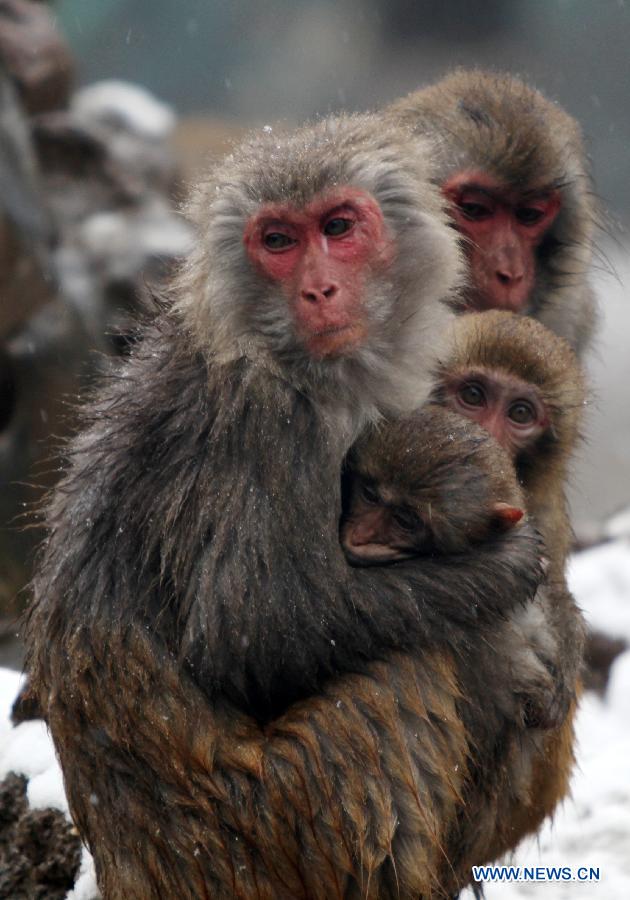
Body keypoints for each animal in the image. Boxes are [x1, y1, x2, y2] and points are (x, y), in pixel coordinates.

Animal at [25, 119, 548, 900]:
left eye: (338, 227)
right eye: (277, 241)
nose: (318, 289)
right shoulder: (262, 422)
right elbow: (255, 632)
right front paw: (509, 568)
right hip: (269, 832)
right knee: (405, 671)